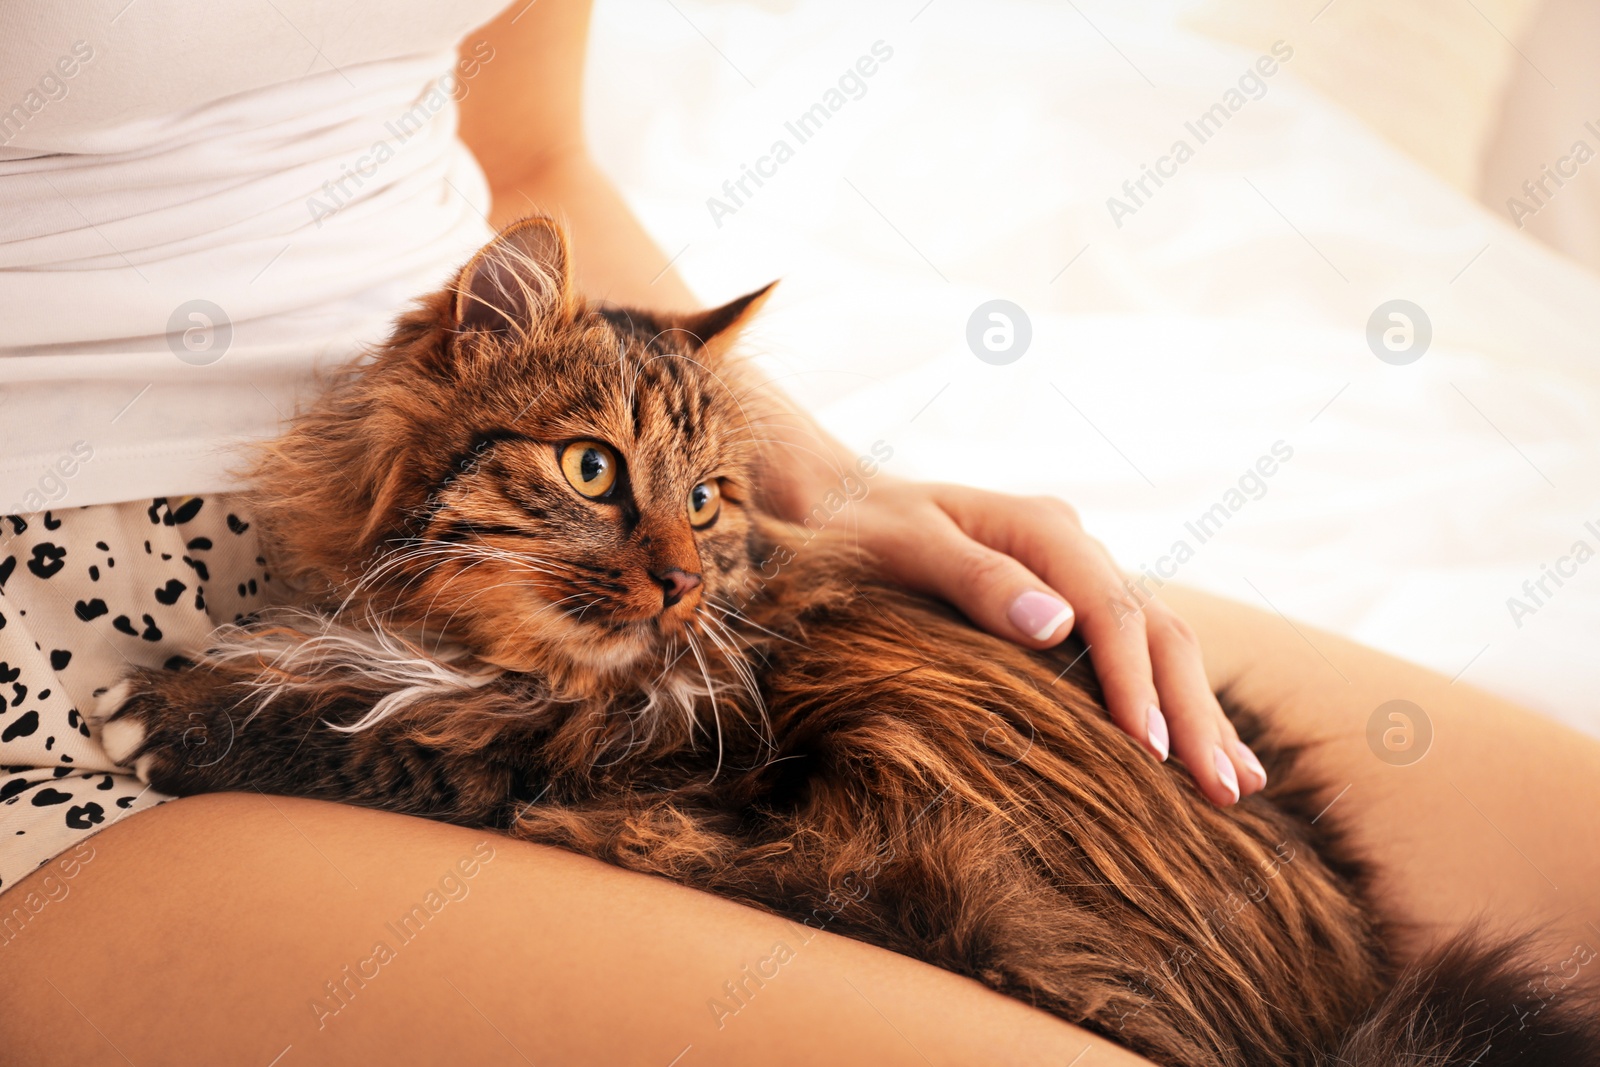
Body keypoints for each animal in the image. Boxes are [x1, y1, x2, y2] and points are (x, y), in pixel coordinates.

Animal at [96, 219, 1600, 1067]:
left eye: (707, 497)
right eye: (592, 468)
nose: (679, 579)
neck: (469, 641)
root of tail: (1349, 1007)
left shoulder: (591, 759)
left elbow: (380, 740)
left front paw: (169, 713)